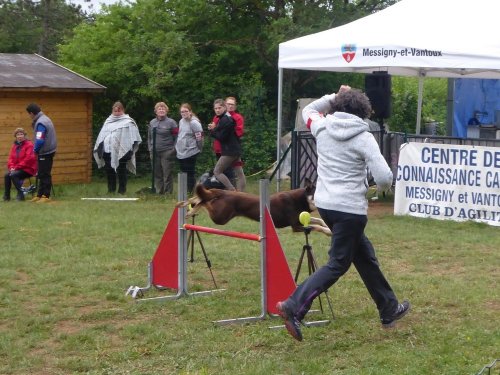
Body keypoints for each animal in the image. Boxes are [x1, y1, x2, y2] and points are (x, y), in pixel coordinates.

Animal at [176, 181, 332, 236]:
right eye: (317, 194)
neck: (300, 198)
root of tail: (224, 192)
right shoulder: (296, 226)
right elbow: (316, 226)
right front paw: (328, 232)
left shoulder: (300, 220)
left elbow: (318, 220)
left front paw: (328, 226)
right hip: (220, 217)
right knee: (203, 201)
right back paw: (189, 210)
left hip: (219, 214)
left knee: (202, 198)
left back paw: (185, 205)